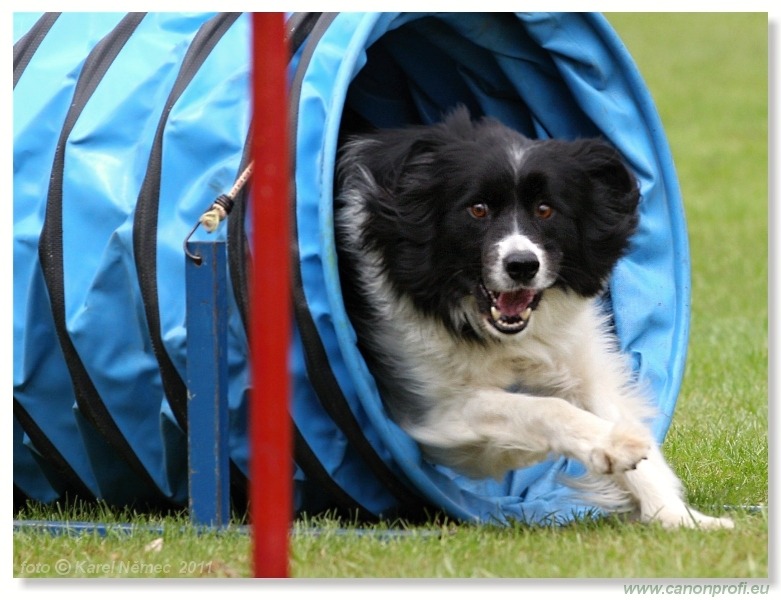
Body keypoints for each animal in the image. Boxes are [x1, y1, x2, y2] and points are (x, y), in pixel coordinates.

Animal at [334, 105, 732, 528]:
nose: (522, 265)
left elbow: (616, 414)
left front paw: (681, 518)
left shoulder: (578, 352)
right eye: (478, 209)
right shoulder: (436, 408)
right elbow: (541, 408)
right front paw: (614, 444)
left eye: (545, 209)